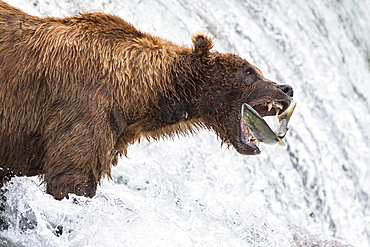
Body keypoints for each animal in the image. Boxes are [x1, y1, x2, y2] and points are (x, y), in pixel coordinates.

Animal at [0, 0, 294, 200]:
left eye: (258, 69)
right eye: (249, 71)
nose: (286, 88)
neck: (139, 95)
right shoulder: (85, 106)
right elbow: (72, 178)